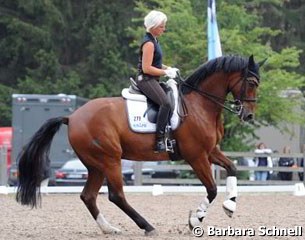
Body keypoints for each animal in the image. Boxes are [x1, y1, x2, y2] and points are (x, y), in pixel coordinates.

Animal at [15, 54, 260, 236]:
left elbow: (232, 168)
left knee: (88, 196)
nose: (248, 115)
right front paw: (195, 220)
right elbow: (211, 189)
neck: (200, 105)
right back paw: (147, 226)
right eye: (251, 82)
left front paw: (230, 206)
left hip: (96, 165)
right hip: (110, 159)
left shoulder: (210, 151)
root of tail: (72, 117)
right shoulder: (196, 156)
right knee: (116, 195)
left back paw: (109, 228)